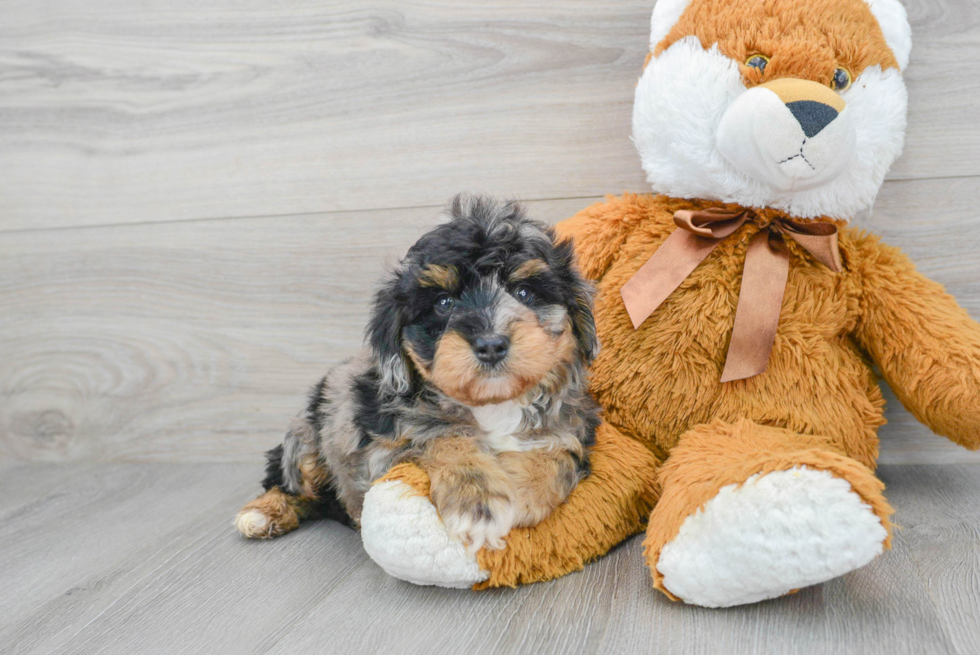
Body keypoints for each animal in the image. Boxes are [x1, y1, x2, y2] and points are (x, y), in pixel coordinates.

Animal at [236, 196, 600, 552]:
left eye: (524, 293)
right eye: (443, 303)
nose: (491, 344)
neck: (493, 404)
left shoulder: (573, 423)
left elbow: (558, 454)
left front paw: (524, 493)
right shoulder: (383, 448)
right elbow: (443, 438)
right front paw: (478, 500)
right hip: (308, 434)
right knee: (289, 482)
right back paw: (262, 513)